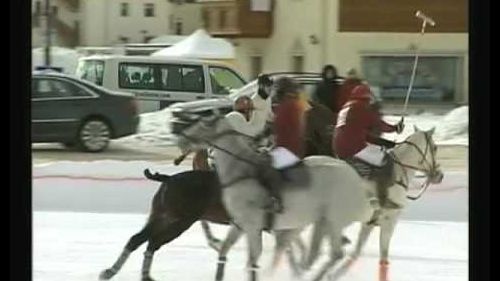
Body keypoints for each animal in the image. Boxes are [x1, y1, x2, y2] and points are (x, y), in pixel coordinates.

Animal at [175, 114, 442, 280]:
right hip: (324, 220)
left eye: (204, 124)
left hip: (324, 220)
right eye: (435, 147)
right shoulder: (244, 225)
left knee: (320, 251)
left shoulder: (249, 225)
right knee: (317, 251)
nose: (438, 174)